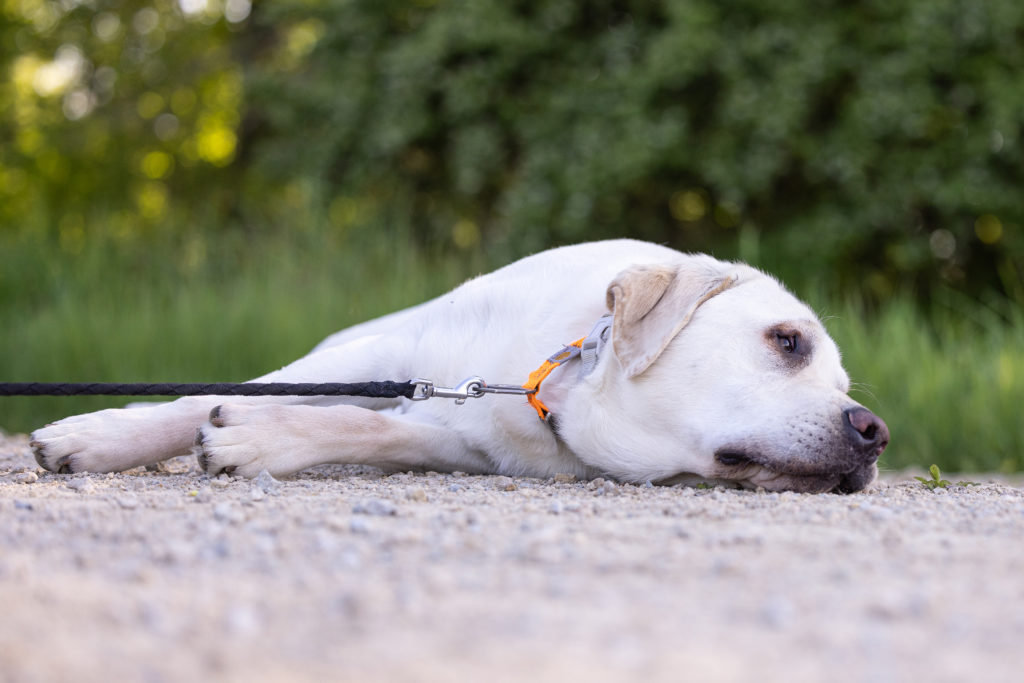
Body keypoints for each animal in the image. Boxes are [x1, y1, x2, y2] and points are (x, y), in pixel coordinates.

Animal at [28, 239, 884, 491]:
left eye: (846, 388)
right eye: (787, 341)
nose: (874, 432)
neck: (557, 383)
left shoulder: (456, 437)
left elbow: (356, 426)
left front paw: (253, 439)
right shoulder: (384, 351)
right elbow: (205, 396)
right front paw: (93, 436)